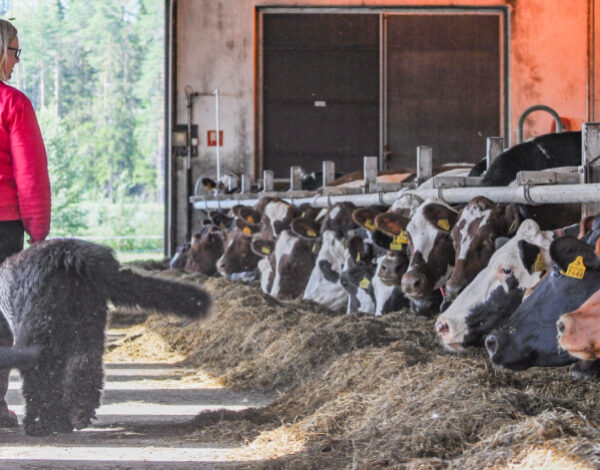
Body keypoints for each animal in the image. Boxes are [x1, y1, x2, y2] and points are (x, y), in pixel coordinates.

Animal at [0, 239, 211, 436]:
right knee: (84, 371)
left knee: (40, 381)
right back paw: (77, 416)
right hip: (87, 331)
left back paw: (39, 424)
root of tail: (70, 255)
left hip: (43, 337)